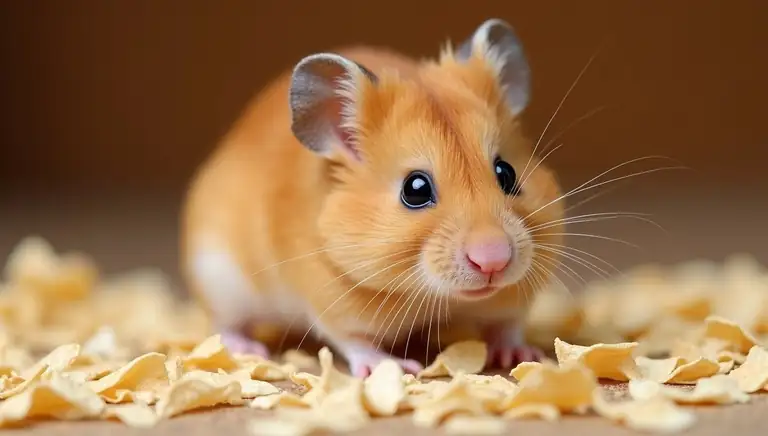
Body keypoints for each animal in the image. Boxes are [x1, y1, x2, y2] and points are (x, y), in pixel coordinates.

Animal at [181, 18, 565, 377]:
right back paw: (249, 349)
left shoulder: (515, 297)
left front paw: (524, 355)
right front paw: (396, 367)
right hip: (219, 277)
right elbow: (354, 341)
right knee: (224, 323)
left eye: (507, 173)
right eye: (415, 189)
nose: (493, 261)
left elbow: (508, 325)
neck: (433, 295)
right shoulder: (332, 303)